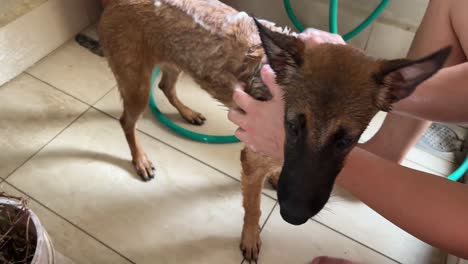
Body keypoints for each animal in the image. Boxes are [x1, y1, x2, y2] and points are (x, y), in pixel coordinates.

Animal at [98, 0, 450, 260]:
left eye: (346, 140)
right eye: (291, 125)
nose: (293, 215)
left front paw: (276, 177)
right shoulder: (251, 161)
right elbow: (252, 208)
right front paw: (251, 239)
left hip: (175, 61)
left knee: (166, 86)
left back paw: (187, 113)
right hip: (136, 84)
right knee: (127, 121)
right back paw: (140, 160)